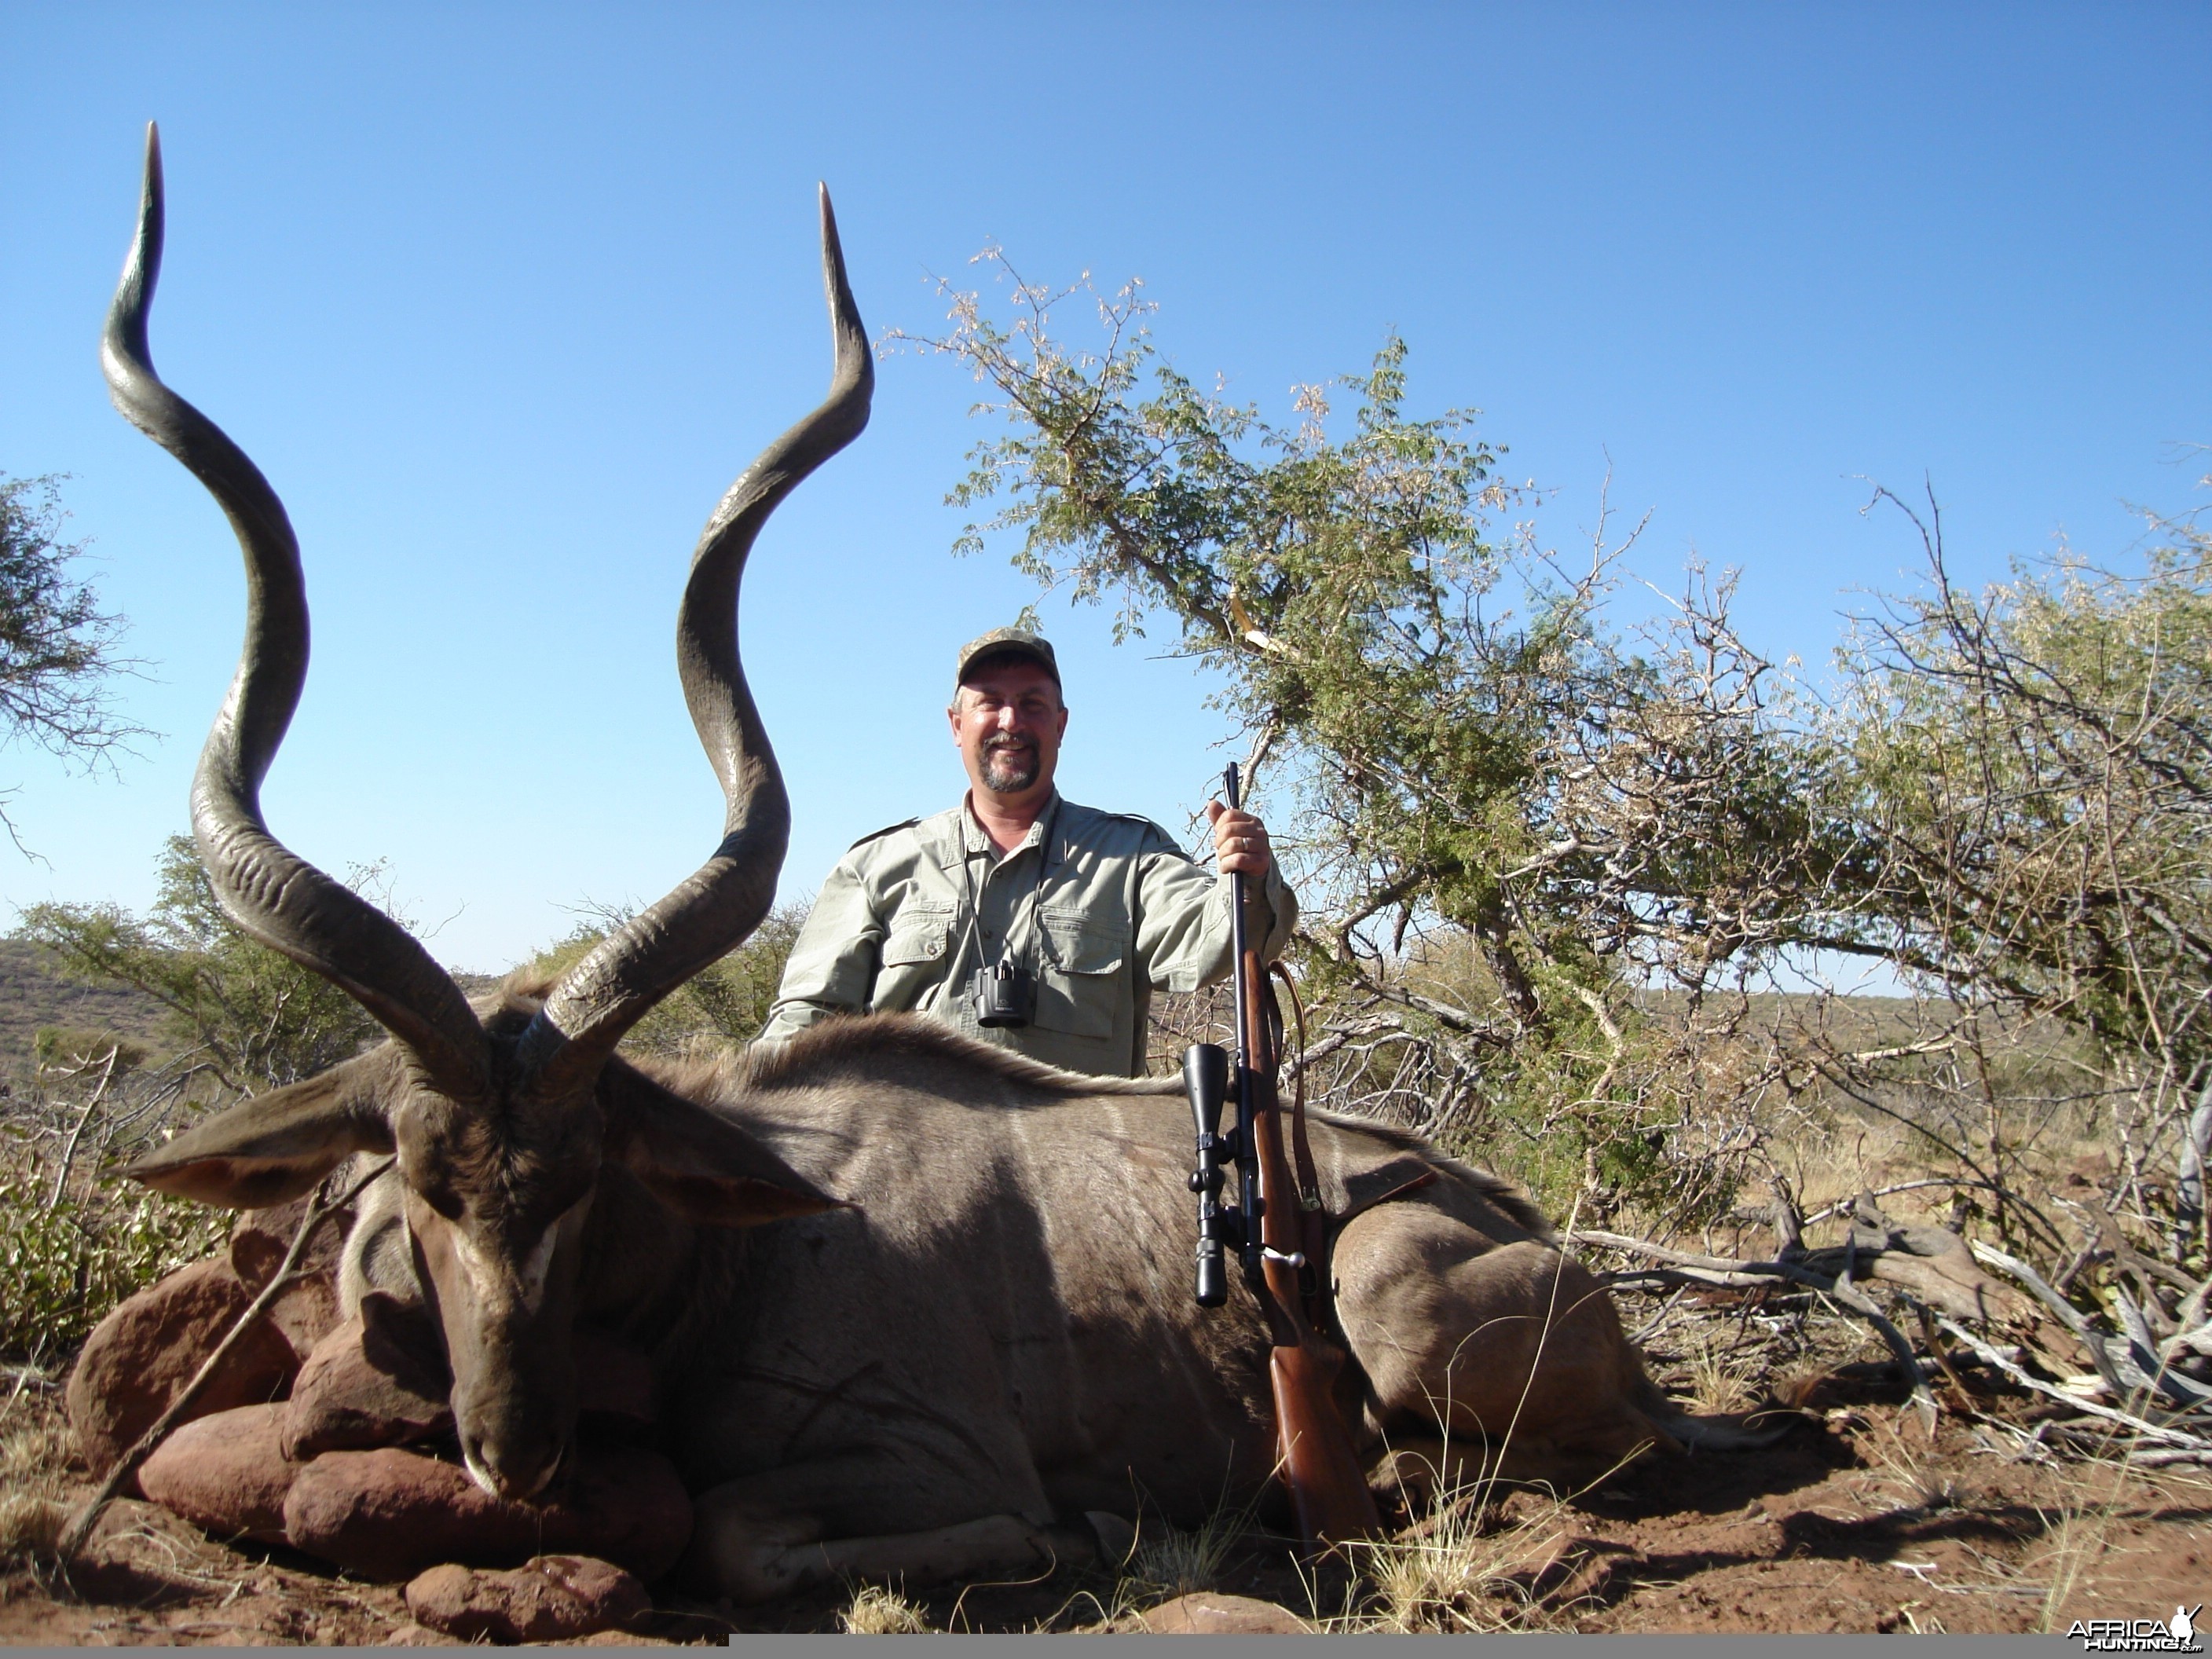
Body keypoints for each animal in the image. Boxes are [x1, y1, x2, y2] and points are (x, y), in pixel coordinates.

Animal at [108, 130, 1743, 1610]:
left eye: (583, 1177)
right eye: (421, 1180)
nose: (517, 1452)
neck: (747, 1251)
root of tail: (1557, 1256)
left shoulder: (934, 1456)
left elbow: (742, 1534)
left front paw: (1084, 1531)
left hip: (1391, 1287)